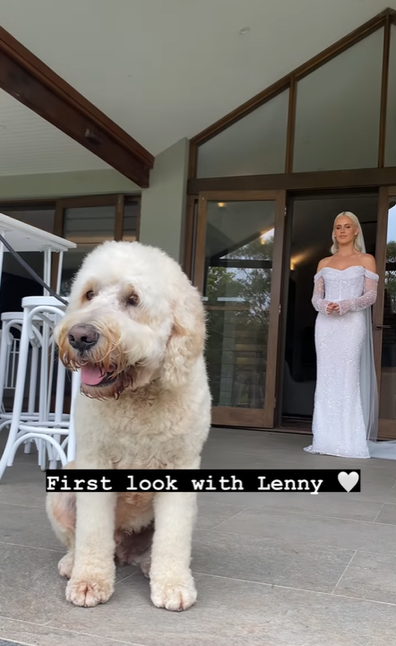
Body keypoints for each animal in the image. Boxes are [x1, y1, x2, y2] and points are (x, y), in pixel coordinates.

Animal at [45, 242, 212, 612]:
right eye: (89, 294)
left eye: (133, 299)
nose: (80, 335)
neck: (136, 395)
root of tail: (121, 548)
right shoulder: (94, 461)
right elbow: (92, 532)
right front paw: (90, 581)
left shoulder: (182, 466)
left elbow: (173, 536)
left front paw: (173, 584)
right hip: (61, 489)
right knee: (77, 539)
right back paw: (72, 563)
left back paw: (149, 562)